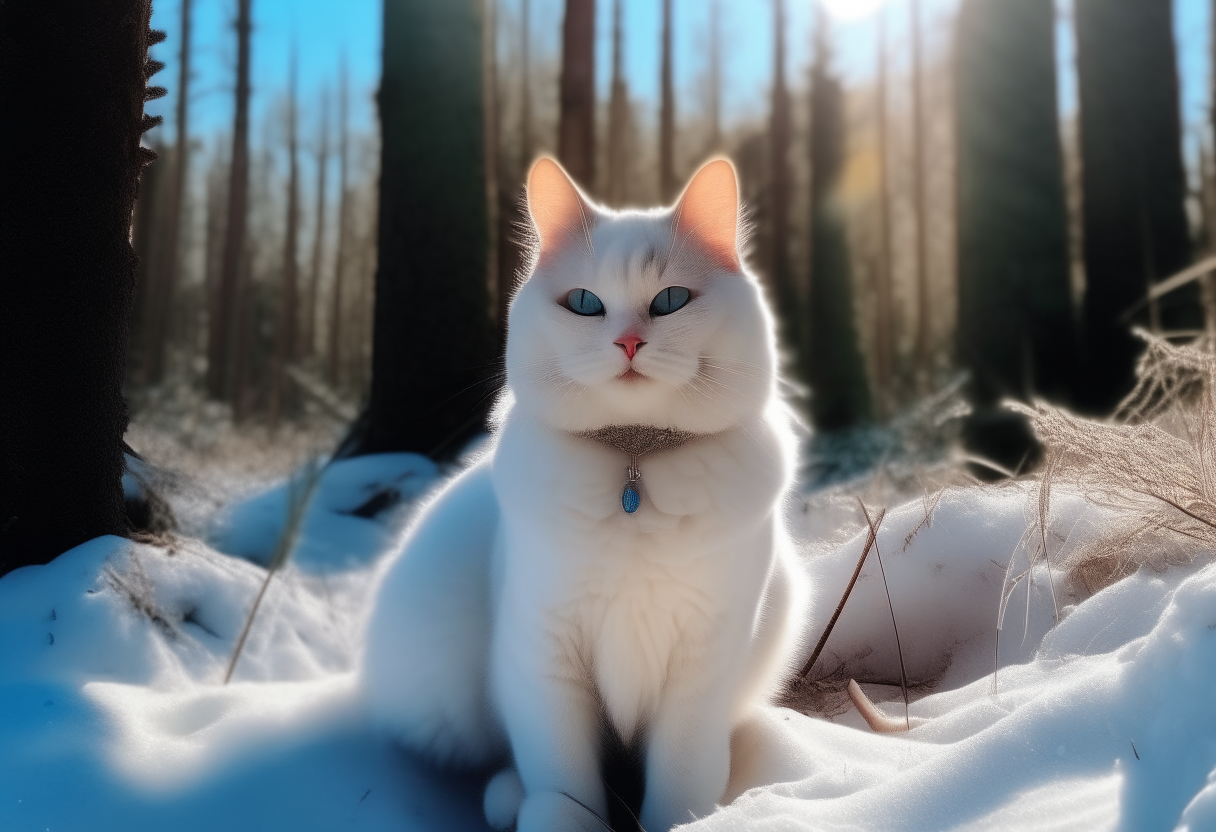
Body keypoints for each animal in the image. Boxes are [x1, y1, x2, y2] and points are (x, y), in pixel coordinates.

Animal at [364, 158, 812, 832]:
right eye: (584, 304)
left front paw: (682, 821)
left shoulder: (703, 665)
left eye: (671, 301)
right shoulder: (545, 655)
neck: (634, 466)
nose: (627, 343)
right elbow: (565, 778)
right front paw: (565, 817)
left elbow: (679, 782)